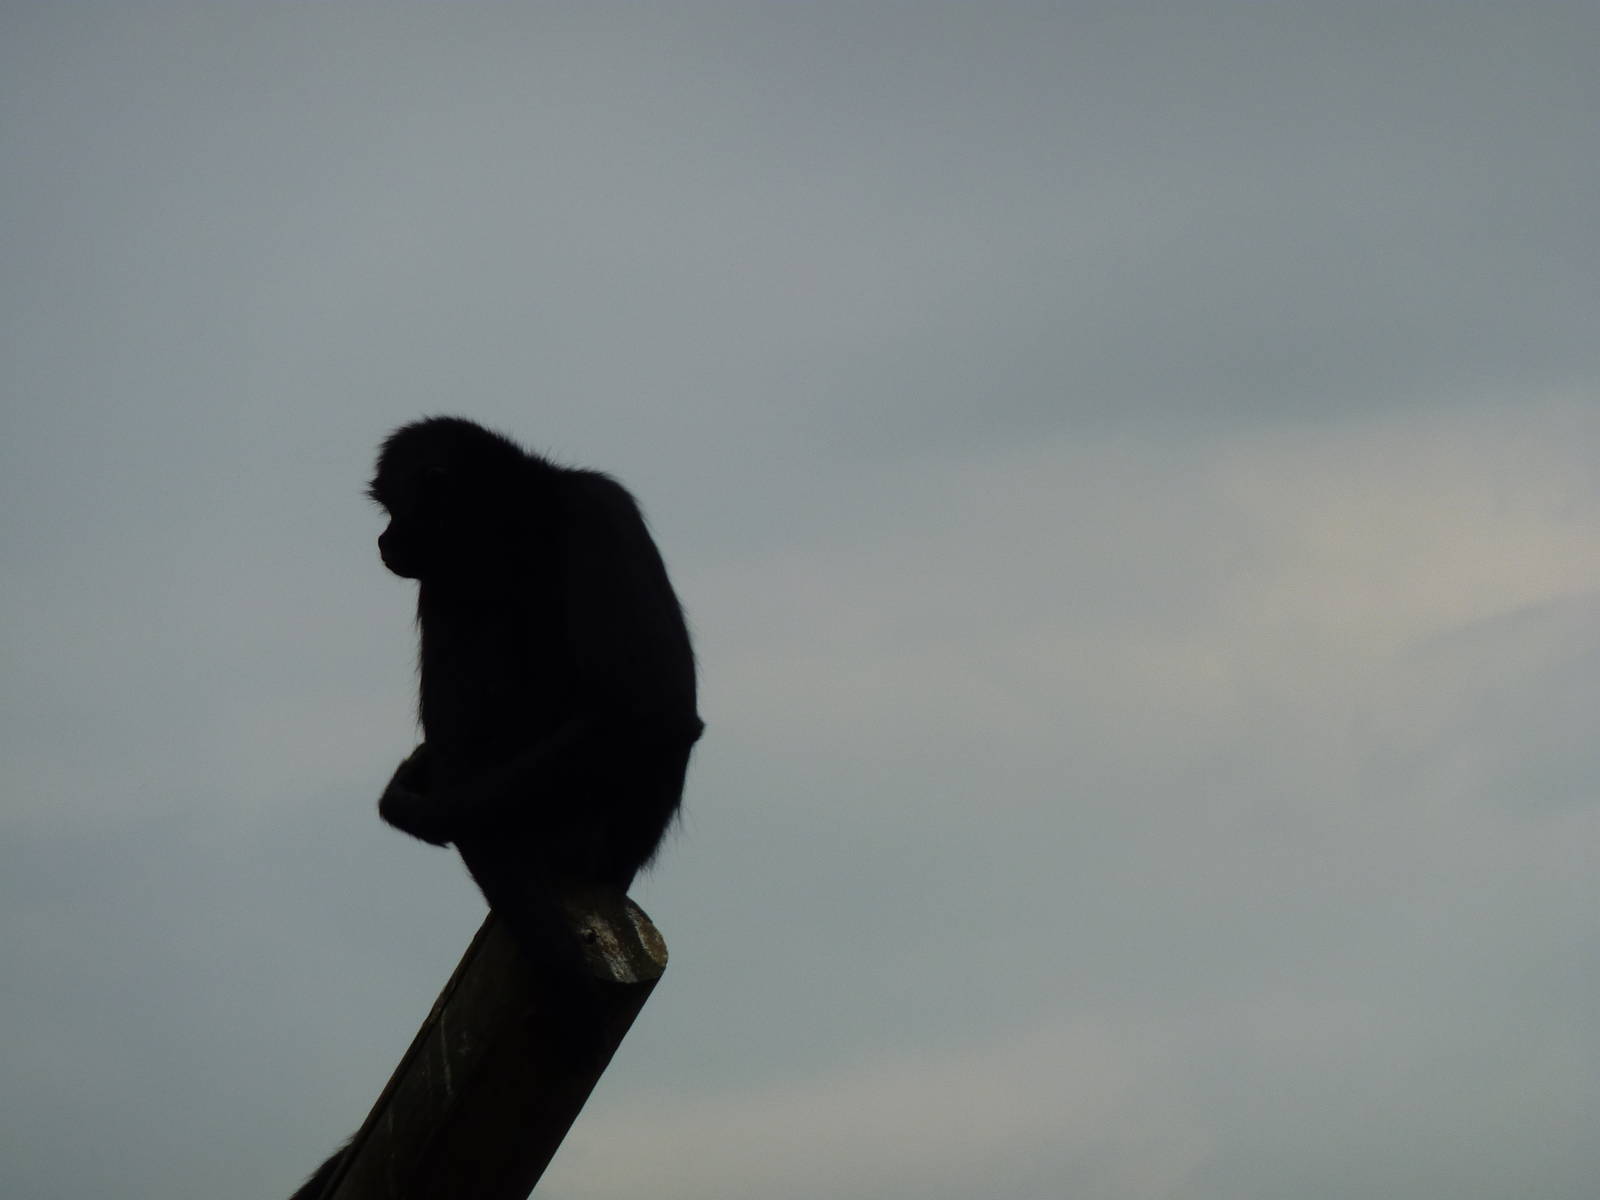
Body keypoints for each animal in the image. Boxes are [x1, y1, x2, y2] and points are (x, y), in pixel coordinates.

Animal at [290, 417, 701, 1199]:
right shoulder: (446, 579)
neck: (513, 533)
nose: (384, 539)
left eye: (394, 507)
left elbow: (652, 707)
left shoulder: (599, 510)